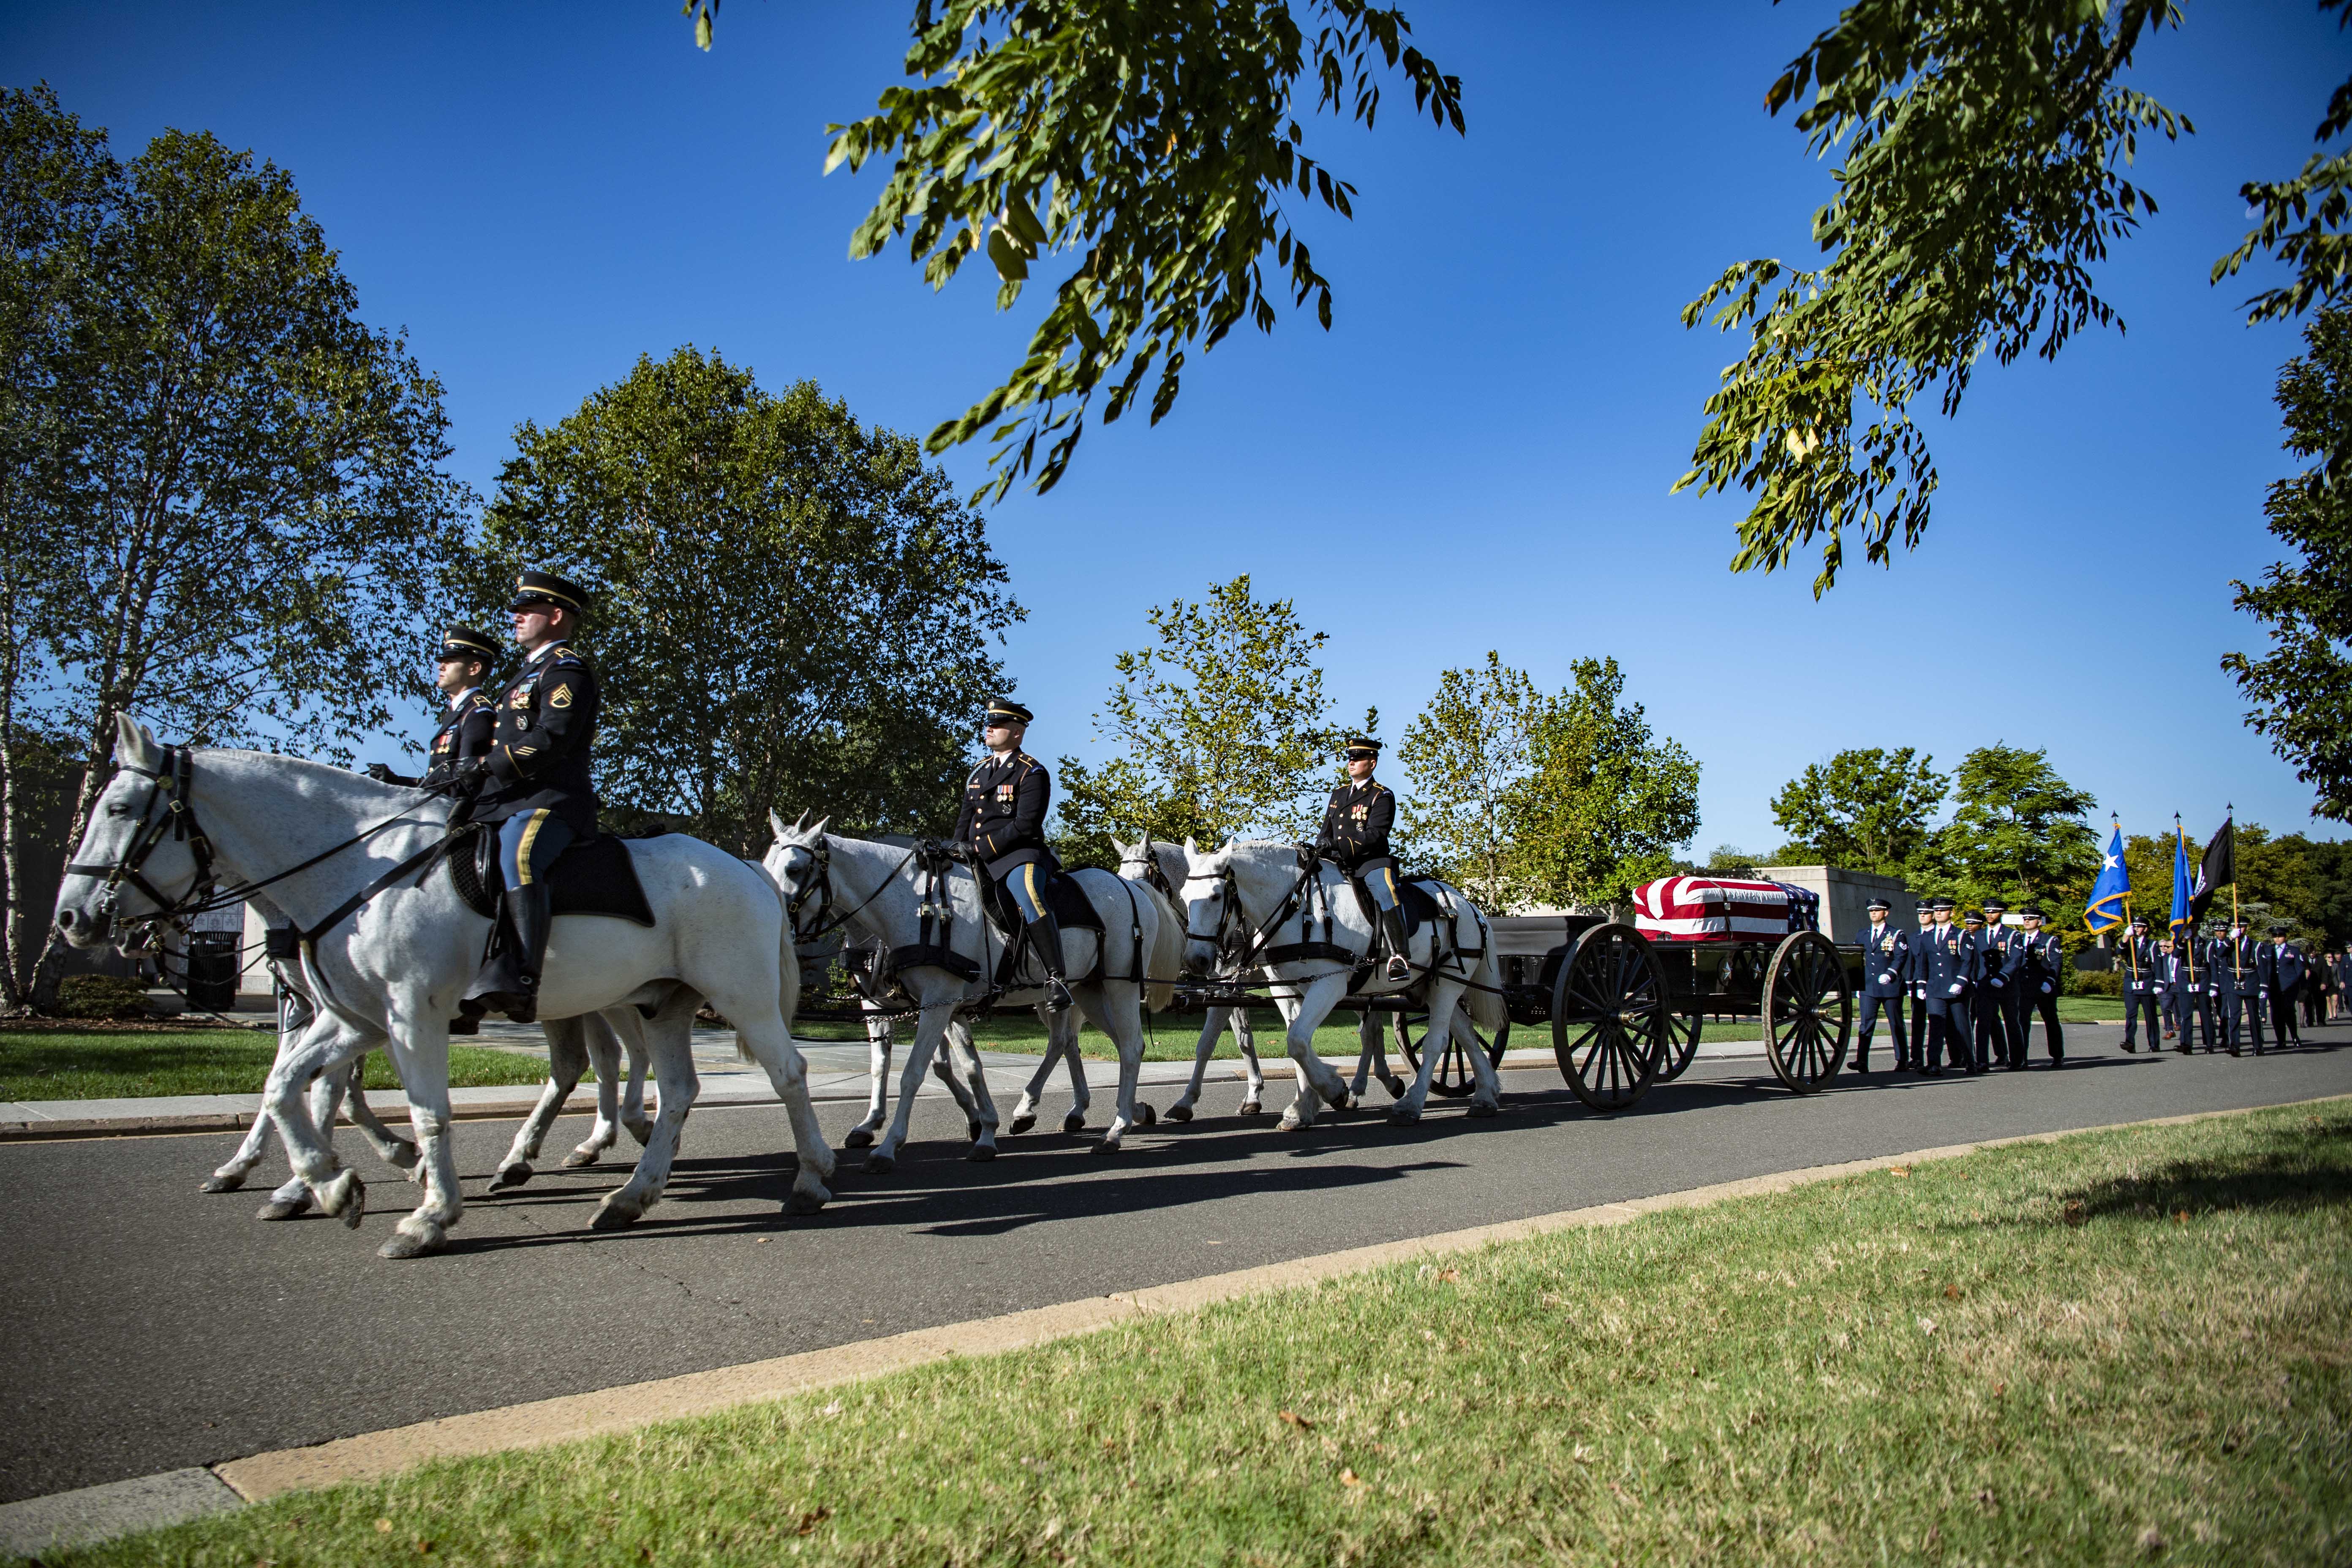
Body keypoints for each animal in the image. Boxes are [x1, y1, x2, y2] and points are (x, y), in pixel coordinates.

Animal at [55, 724, 837, 1260]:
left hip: (736, 998)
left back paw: (810, 1177)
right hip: (660, 1004)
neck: (363, 868)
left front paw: (427, 1211)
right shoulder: (351, 1018)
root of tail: (748, 871)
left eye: (121, 808)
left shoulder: (410, 1014)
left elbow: (422, 1109)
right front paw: (327, 1182)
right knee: (672, 1089)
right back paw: (627, 1193)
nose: (72, 917)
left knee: (786, 1072)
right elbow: (287, 1087)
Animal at [767, 822, 1176, 1166]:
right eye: (766, 863)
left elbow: (916, 1072)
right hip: (1088, 992)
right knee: (1091, 1043)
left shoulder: (936, 1003)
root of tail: (1132, 888)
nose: (771, 921)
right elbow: (951, 1066)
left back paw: (1114, 1130)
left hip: (1118, 986)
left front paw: (889, 1146)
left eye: (794, 869)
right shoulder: (928, 1005)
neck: (920, 907)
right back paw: (1116, 1111)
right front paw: (980, 1126)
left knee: (1127, 1046)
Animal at [1176, 846, 1505, 1128]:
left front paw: (1333, 1090)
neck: (1298, 909)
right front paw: (1303, 1108)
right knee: (1464, 1033)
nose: (1195, 961)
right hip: (1429, 987)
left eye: (1216, 896)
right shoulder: (1287, 991)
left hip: (1447, 983)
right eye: (1183, 895)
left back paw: (1411, 1104)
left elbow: (1297, 1041)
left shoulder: (1329, 987)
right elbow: (1297, 1043)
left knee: (1438, 1041)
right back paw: (1485, 1095)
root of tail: (1470, 907)